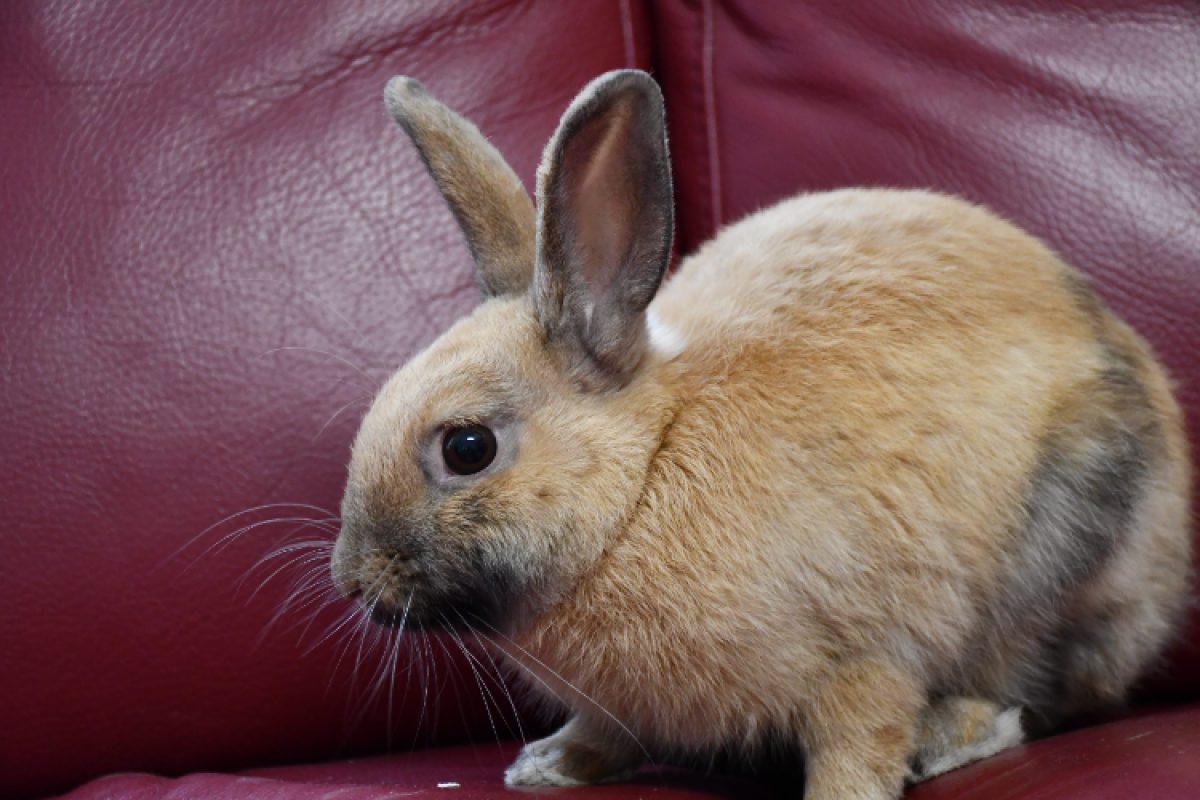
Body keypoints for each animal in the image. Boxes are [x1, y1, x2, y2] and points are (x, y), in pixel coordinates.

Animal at [329, 69, 1193, 800]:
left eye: (467, 448)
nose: (351, 578)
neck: (643, 482)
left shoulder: (865, 656)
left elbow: (859, 741)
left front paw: (845, 794)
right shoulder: (617, 707)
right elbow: (604, 733)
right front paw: (550, 766)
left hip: (1060, 550)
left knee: (1037, 693)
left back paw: (950, 736)